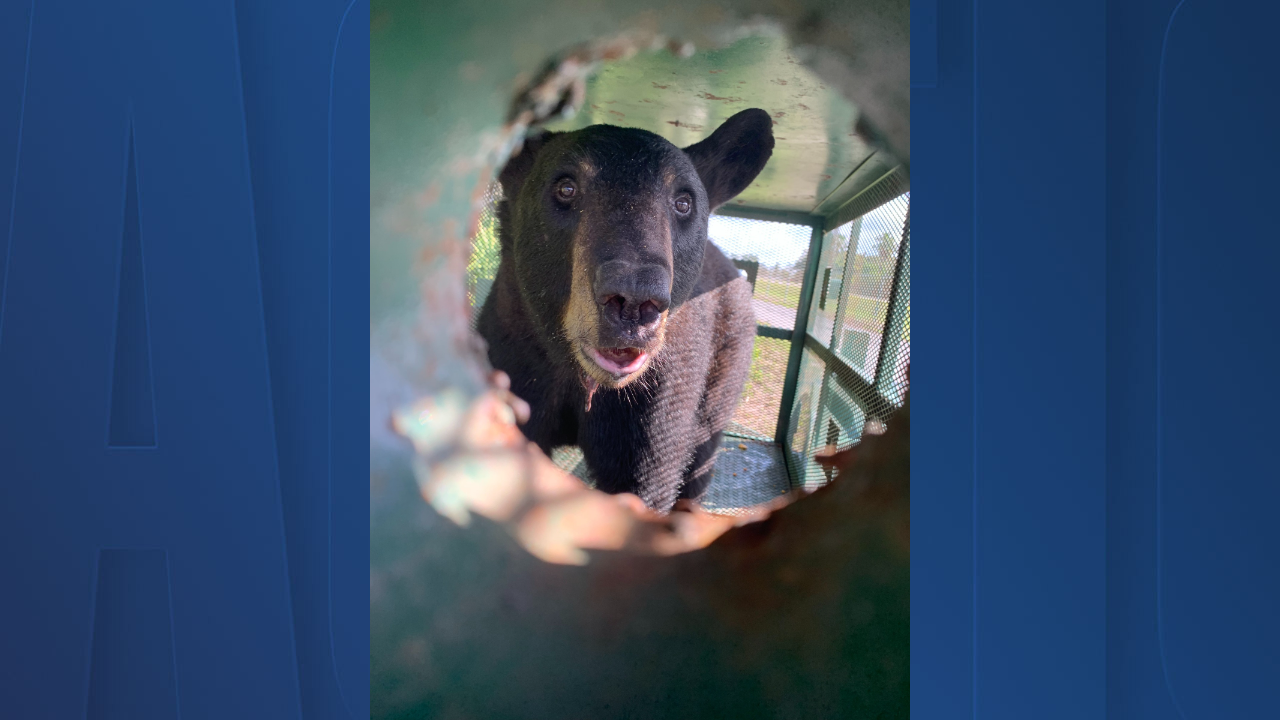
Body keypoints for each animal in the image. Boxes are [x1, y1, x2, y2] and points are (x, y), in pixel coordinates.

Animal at [476, 108, 775, 513]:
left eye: (684, 202)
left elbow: (646, 479)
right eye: (565, 188)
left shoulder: (659, 392)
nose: (635, 300)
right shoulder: (514, 356)